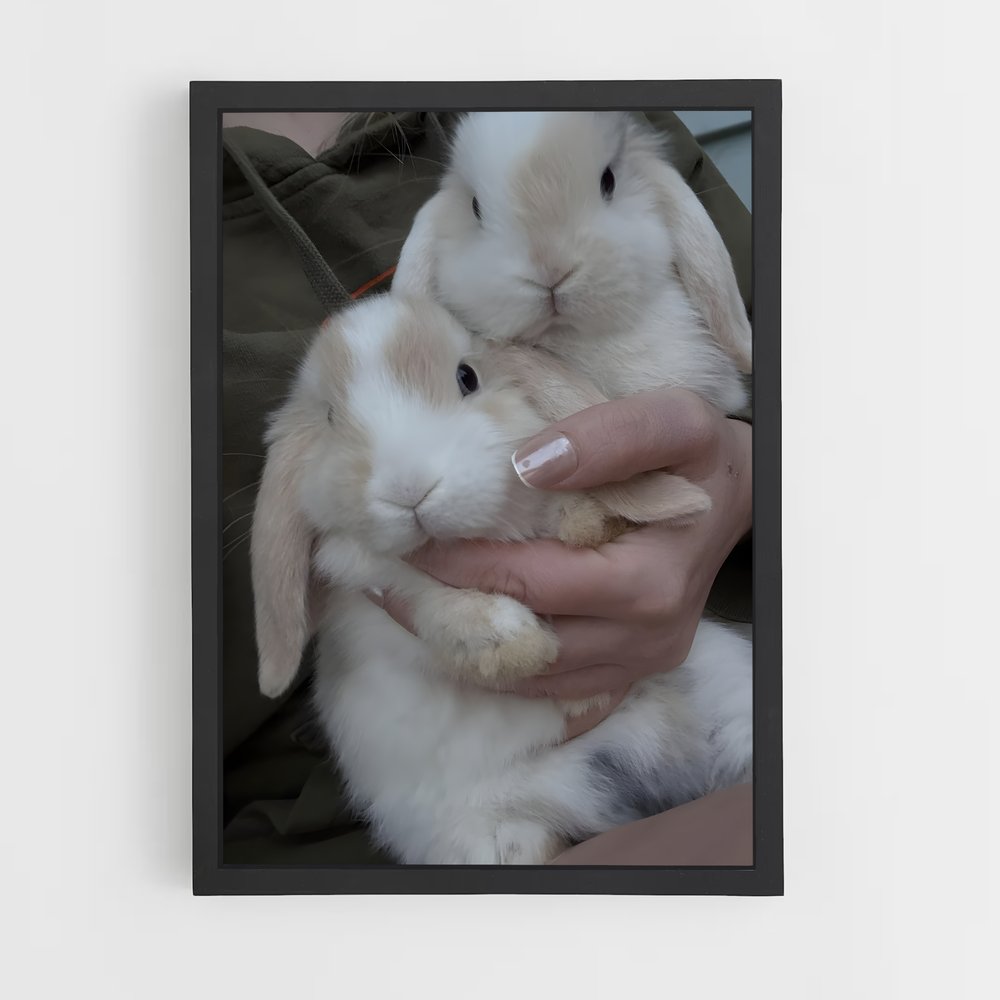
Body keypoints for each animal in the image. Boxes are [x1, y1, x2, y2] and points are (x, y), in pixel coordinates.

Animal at [250, 292, 752, 864]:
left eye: (467, 377)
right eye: (331, 417)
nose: (408, 488)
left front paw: (591, 522)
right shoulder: (377, 579)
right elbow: (430, 601)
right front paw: (515, 646)